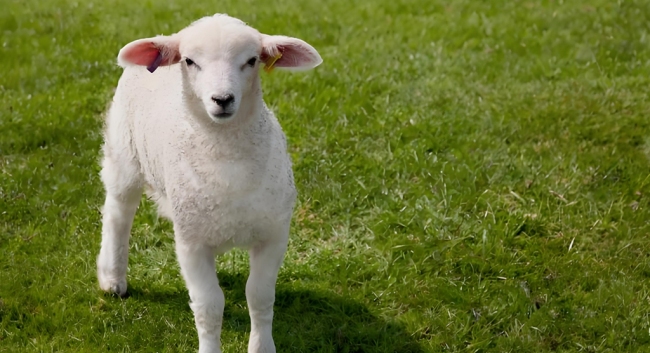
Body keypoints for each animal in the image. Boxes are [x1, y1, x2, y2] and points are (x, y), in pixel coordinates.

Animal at [95, 14, 322, 352]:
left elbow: (260, 297)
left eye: (251, 60)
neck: (228, 165)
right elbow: (209, 305)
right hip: (124, 154)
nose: (222, 99)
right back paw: (113, 279)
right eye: (190, 61)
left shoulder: (273, 234)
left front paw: (261, 346)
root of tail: (165, 35)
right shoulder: (192, 244)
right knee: (118, 214)